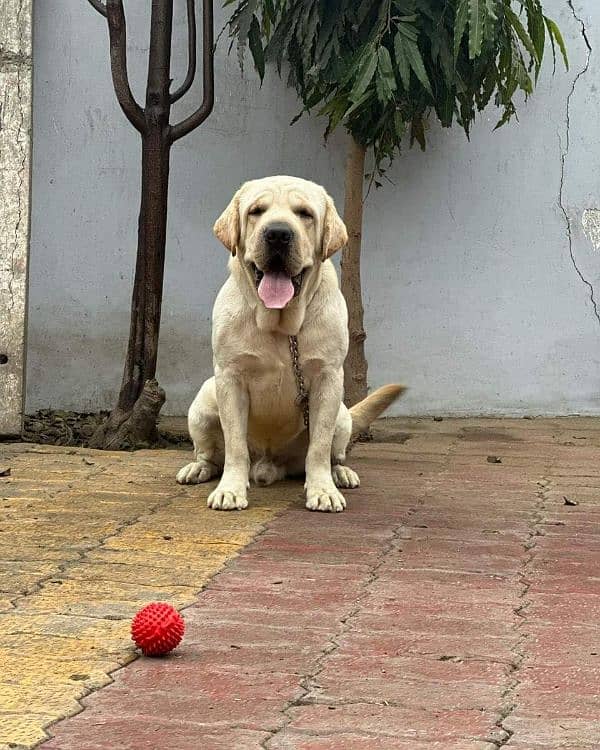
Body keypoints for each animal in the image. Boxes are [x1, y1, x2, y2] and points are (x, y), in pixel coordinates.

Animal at [177, 176, 404, 512]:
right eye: (256, 211)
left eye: (304, 214)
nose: (278, 234)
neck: (282, 326)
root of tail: (270, 467)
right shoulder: (230, 377)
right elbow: (235, 444)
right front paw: (230, 490)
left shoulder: (328, 378)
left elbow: (319, 447)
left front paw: (322, 490)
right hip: (204, 403)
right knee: (210, 454)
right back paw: (199, 468)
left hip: (341, 416)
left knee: (334, 453)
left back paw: (340, 474)